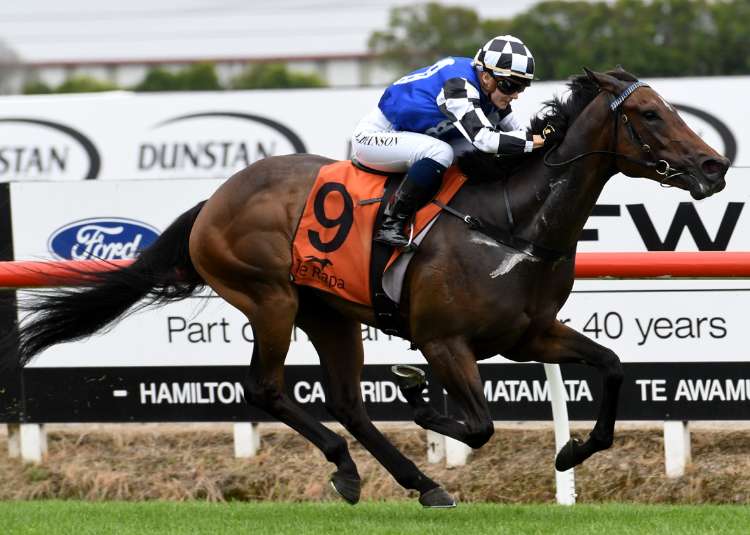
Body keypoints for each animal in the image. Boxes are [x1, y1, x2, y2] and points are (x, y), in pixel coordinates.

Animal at [8, 68, 729, 507]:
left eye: (668, 107)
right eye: (648, 114)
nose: (715, 164)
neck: (514, 222)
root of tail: (214, 200)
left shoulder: (529, 335)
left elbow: (612, 364)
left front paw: (574, 448)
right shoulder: (444, 341)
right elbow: (478, 423)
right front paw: (416, 394)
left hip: (330, 314)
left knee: (347, 401)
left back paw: (409, 479)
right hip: (271, 299)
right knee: (266, 388)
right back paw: (351, 463)